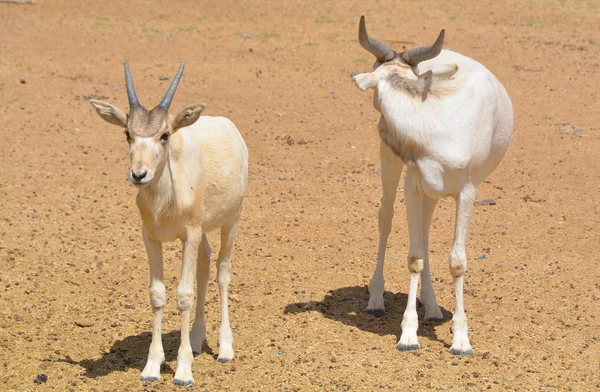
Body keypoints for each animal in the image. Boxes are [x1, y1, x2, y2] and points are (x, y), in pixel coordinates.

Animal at [89, 59, 248, 384]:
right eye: (127, 133)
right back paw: (198, 339)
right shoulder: (151, 236)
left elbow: (183, 294)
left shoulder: (189, 235)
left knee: (222, 271)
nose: (139, 174)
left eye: (164, 134)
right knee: (204, 264)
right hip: (203, 232)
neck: (166, 200)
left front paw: (183, 370)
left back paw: (225, 348)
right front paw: (151, 367)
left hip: (232, 220)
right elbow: (157, 294)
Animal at [354, 16, 512, 356]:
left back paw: (434, 307)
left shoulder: (466, 192)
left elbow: (457, 262)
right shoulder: (413, 184)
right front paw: (408, 336)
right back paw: (377, 299)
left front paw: (461, 339)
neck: (439, 124)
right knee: (386, 216)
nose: (381, 120)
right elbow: (414, 258)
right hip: (392, 162)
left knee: (424, 232)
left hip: (435, 192)